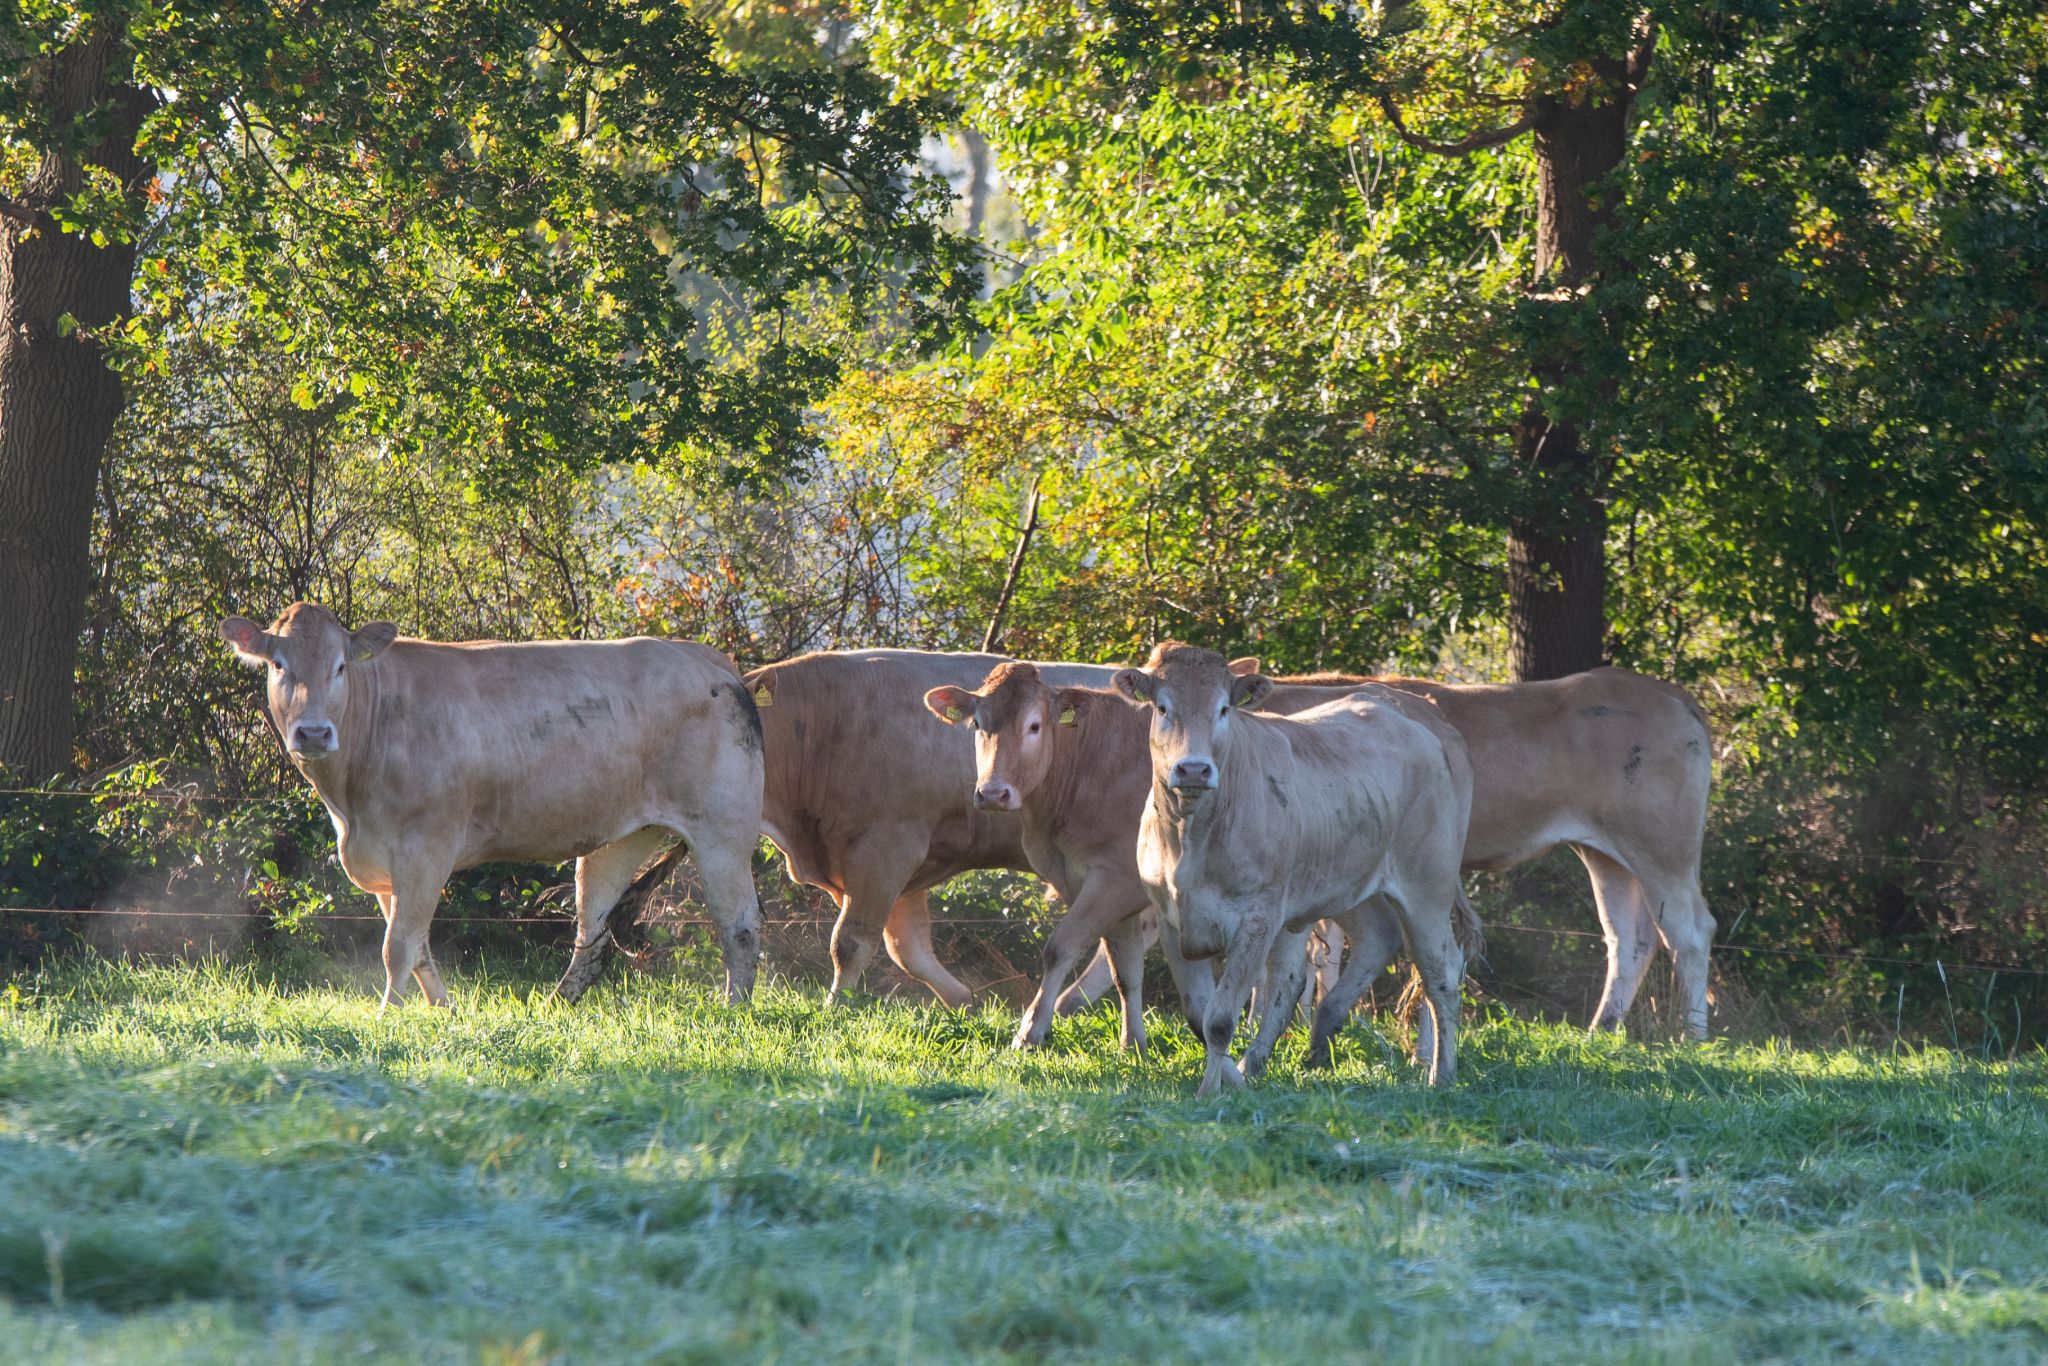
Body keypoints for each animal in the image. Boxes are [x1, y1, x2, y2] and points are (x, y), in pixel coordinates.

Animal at [222, 602, 770, 1011]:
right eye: (278, 665)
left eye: (339, 667)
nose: (313, 733)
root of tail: (705, 656)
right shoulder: (382, 860)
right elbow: (417, 946)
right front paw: (443, 1010)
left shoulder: (425, 847)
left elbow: (397, 946)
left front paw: (388, 1016)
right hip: (622, 835)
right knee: (593, 931)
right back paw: (556, 1005)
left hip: (722, 828)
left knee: (739, 925)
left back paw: (732, 1009)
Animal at [1056, 667, 1712, 1040]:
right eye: (1161, 707)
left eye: (1220, 709)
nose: (1191, 768)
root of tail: (1673, 694)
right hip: (1605, 854)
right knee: (1628, 937)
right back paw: (1601, 1030)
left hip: (1663, 847)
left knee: (1689, 930)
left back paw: (1692, 1036)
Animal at [1122, 647, 1474, 1097]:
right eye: (1163, 707)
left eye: (1224, 709)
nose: (1194, 769)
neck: (1192, 836)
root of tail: (1421, 720)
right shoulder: (1173, 920)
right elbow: (1199, 1015)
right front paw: (1234, 1080)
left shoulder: (1258, 918)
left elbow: (1219, 1020)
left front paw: (1210, 1092)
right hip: (1349, 883)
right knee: (1346, 952)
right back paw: (1279, 1052)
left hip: (1427, 885)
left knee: (1440, 972)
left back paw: (1440, 1073)